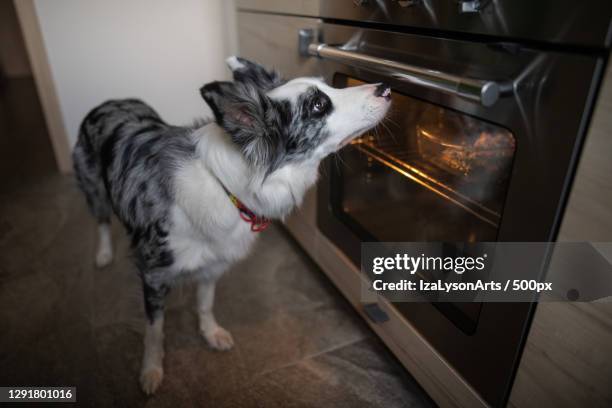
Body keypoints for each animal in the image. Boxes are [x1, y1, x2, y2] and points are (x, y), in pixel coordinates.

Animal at [73, 55, 392, 394]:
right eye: (318, 105)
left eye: (327, 86)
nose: (386, 88)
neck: (227, 187)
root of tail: (110, 101)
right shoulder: (154, 274)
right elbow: (154, 330)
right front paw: (151, 369)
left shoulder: (214, 262)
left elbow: (205, 303)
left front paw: (211, 333)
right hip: (94, 188)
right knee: (101, 220)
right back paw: (103, 254)